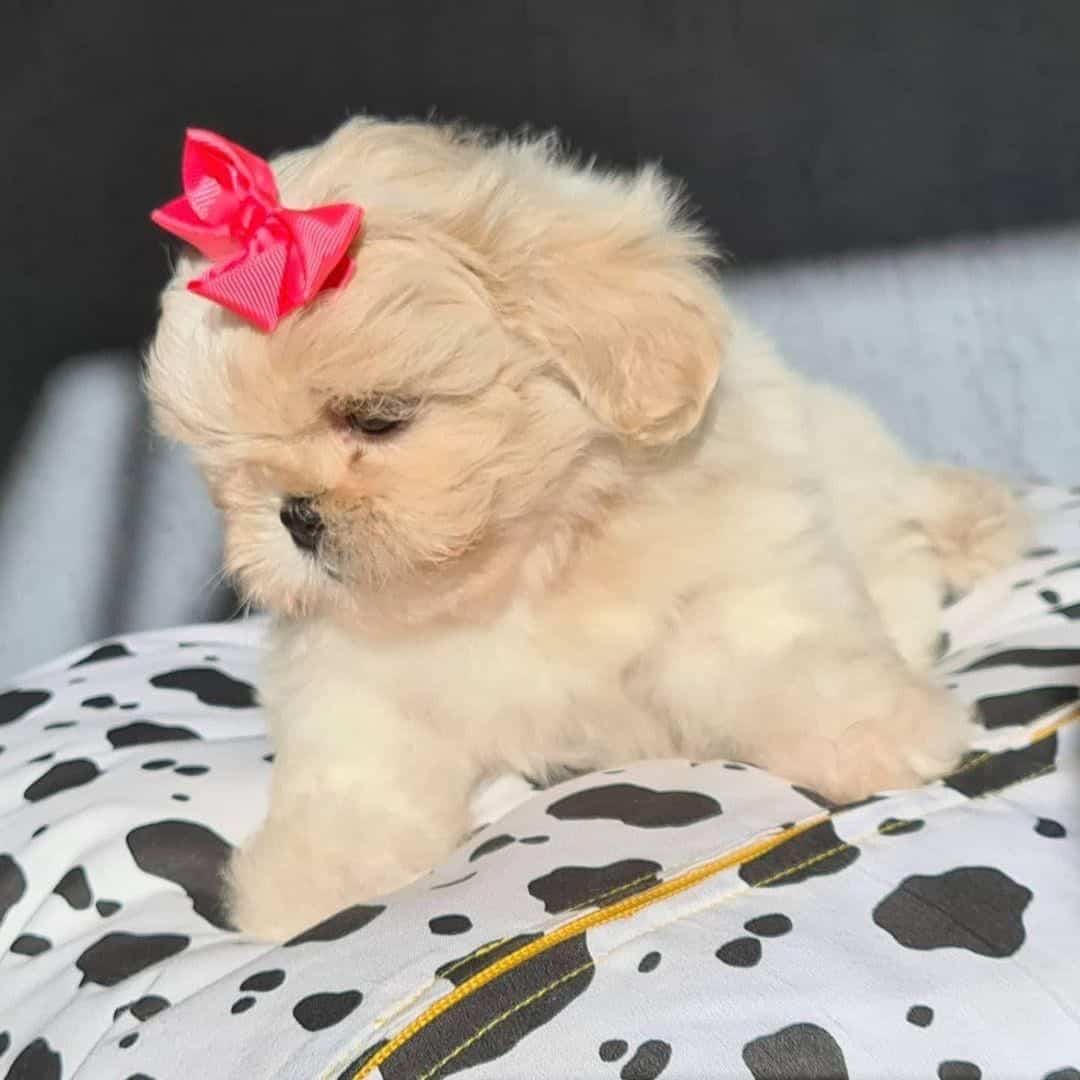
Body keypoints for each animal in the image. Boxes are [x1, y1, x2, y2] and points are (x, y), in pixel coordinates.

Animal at [147, 118, 1023, 941]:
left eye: (378, 417)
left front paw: (878, 732)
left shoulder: (740, 571)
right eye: (227, 464)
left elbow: (788, 652)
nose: (293, 512)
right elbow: (355, 762)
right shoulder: (352, 668)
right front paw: (312, 877)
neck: (528, 564)